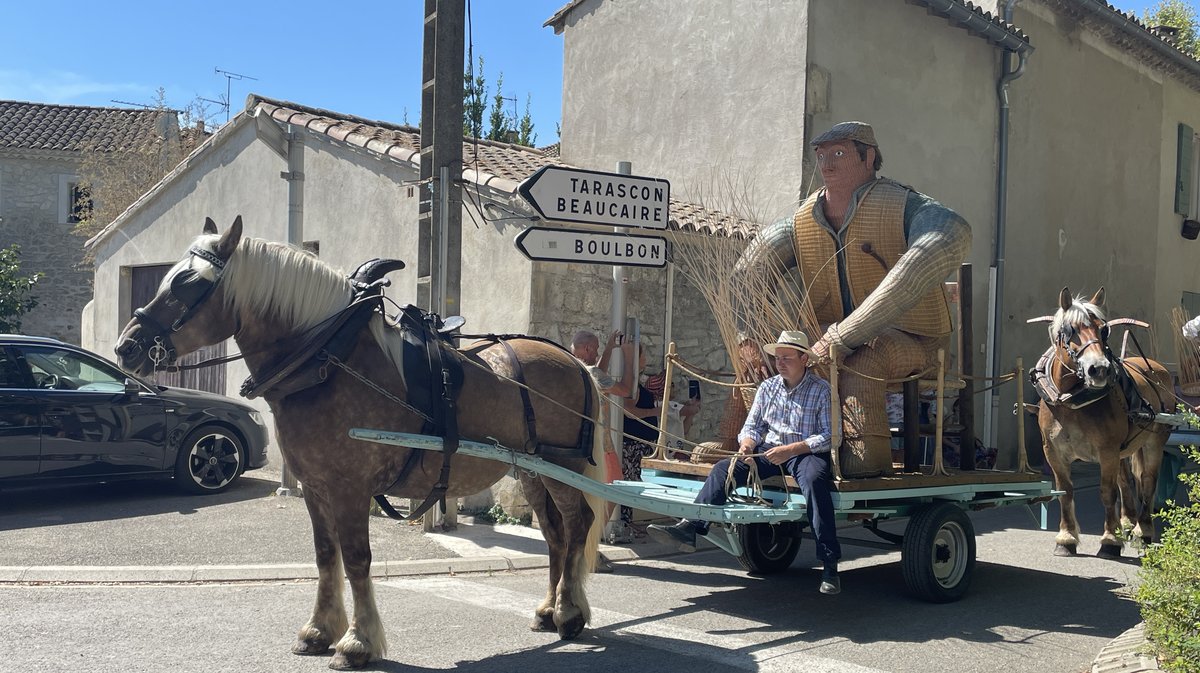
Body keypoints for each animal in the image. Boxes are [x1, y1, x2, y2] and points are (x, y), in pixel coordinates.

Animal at [113, 214, 604, 667]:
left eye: (189, 283)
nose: (126, 348)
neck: (326, 360)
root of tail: (573, 361)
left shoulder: (350, 487)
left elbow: (356, 558)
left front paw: (357, 642)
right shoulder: (315, 486)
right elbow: (325, 555)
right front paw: (317, 630)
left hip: (564, 469)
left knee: (577, 522)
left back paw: (569, 613)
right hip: (533, 471)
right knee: (555, 533)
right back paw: (547, 610)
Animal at [1032, 287, 1171, 556]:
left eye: (1103, 329)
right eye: (1070, 330)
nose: (1099, 369)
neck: (1070, 401)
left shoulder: (1107, 451)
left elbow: (1107, 493)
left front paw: (1109, 541)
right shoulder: (1053, 451)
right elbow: (1065, 491)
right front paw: (1066, 538)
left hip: (1154, 442)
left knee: (1148, 481)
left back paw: (1143, 531)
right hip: (1124, 450)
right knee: (1126, 481)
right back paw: (1127, 523)